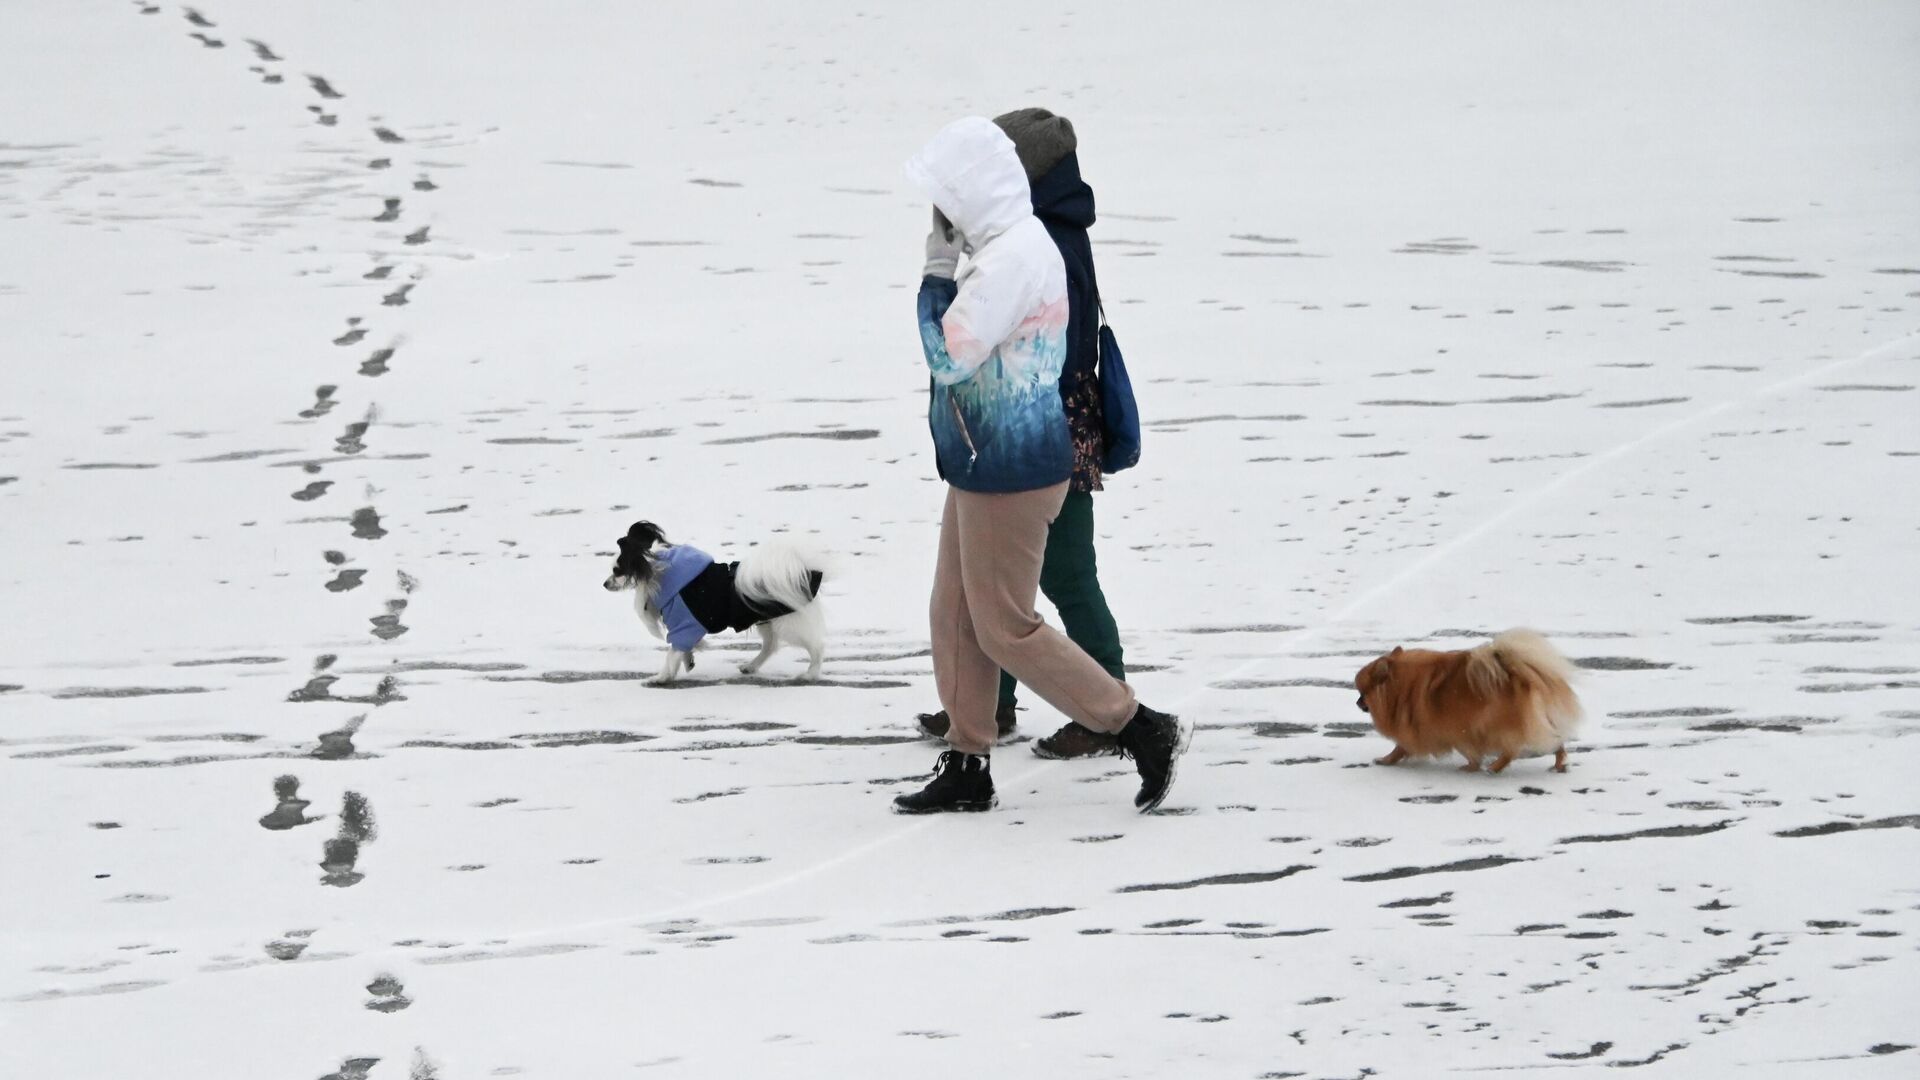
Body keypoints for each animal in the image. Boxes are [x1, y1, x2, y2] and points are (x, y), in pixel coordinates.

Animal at [602, 518, 829, 680]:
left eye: (617, 571)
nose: (604, 584)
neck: (659, 571)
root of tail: (805, 571)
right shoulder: (686, 628)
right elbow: (681, 649)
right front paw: (687, 661)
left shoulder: (684, 625)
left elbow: (672, 651)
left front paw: (661, 677)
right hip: (767, 620)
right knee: (770, 645)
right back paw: (751, 666)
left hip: (789, 624)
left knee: (816, 647)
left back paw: (810, 674)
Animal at [1351, 626, 1574, 768]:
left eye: (1363, 693)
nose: (1357, 702)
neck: (1400, 688)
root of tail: (1515, 672)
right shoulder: (1458, 730)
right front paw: (1471, 767)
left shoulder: (1450, 728)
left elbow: (1400, 748)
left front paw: (1385, 760)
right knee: (1556, 741)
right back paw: (1559, 763)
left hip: (1494, 725)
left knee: (1512, 750)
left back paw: (1495, 768)